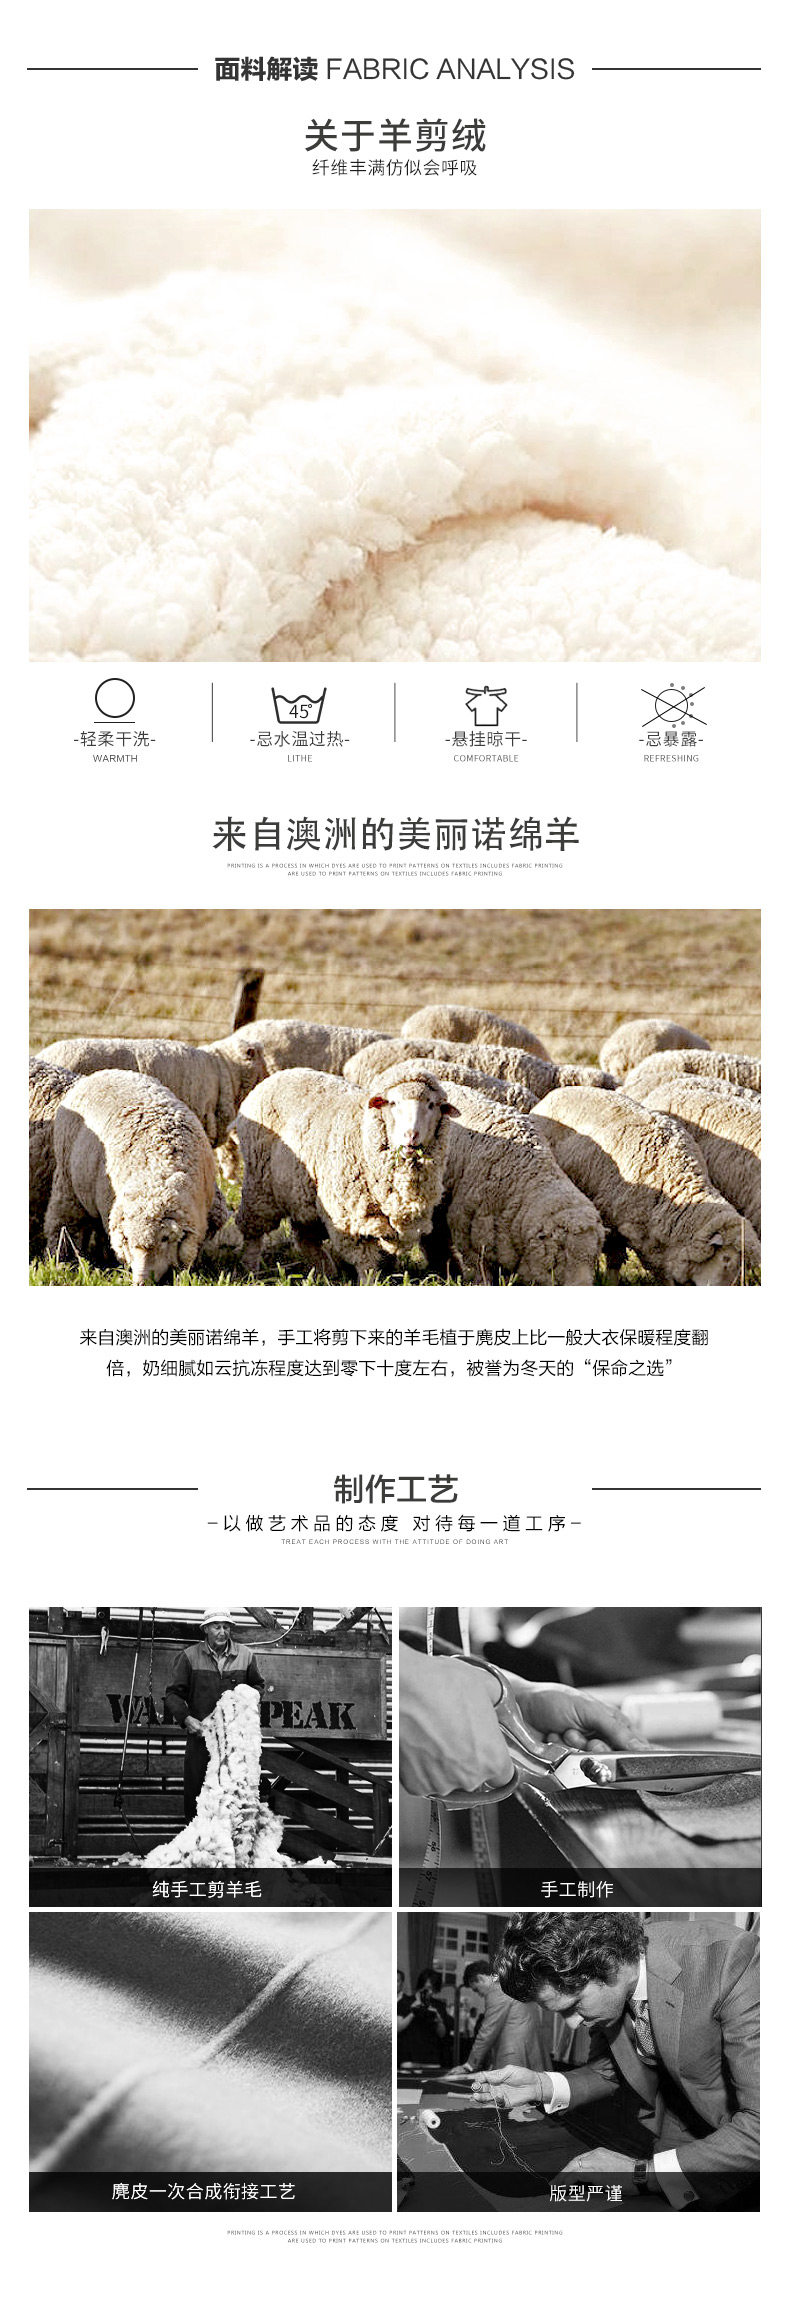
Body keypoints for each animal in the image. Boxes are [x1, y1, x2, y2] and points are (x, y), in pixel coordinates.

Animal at [44, 1072, 221, 1284]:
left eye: (165, 1238)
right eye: (128, 1239)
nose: (141, 1281)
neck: (158, 1170)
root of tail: (100, 1073)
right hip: (67, 1180)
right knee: (64, 1221)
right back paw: (62, 1260)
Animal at [235, 1065, 461, 1283]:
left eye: (431, 1105)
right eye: (393, 1103)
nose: (411, 1135)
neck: (363, 1135)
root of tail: (277, 1076)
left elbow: (386, 1255)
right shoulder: (352, 1218)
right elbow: (366, 1262)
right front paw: (369, 1282)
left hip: (302, 1194)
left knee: (305, 1237)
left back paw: (326, 1272)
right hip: (259, 1186)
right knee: (253, 1232)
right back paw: (251, 1270)